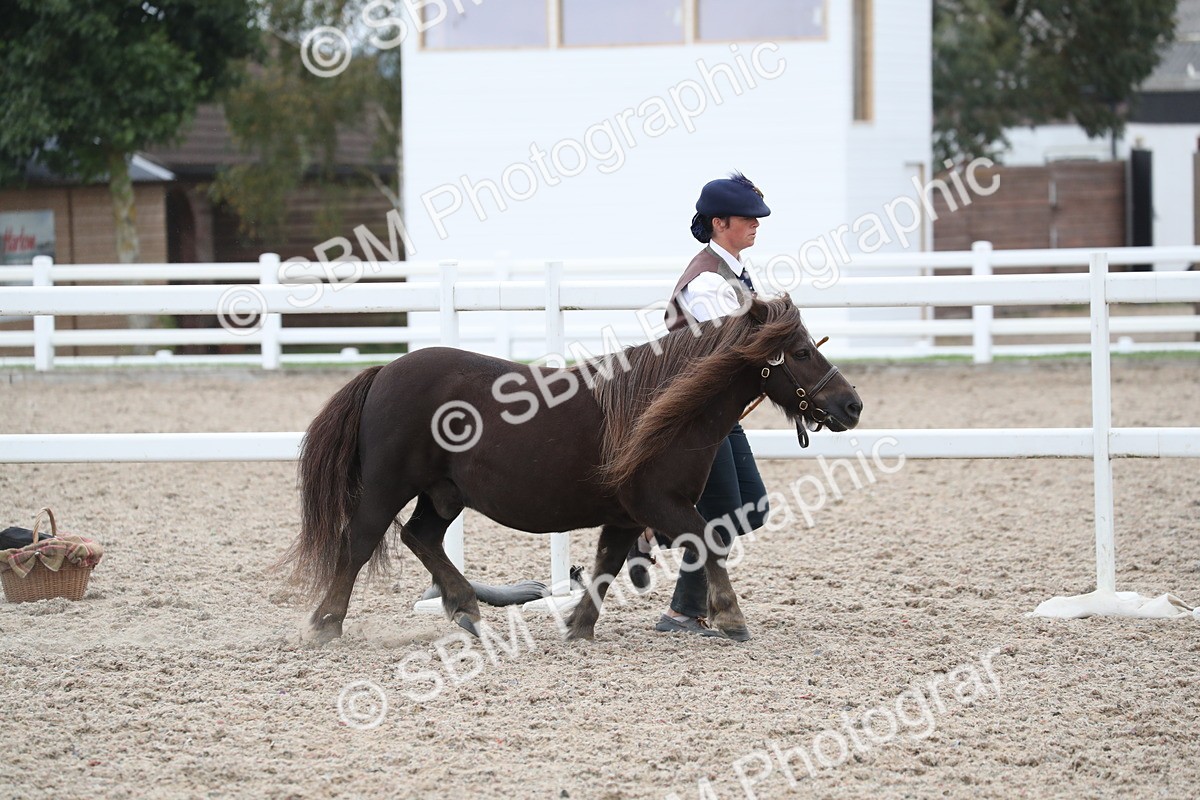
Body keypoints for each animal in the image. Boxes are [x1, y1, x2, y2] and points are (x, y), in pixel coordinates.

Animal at [283, 295, 862, 643]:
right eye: (801, 351)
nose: (851, 404)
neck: (662, 409)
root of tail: (384, 372)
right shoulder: (662, 504)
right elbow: (709, 542)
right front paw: (731, 616)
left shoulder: (628, 515)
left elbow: (607, 566)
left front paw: (578, 626)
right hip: (387, 487)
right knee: (358, 542)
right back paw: (325, 625)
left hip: (444, 493)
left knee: (420, 538)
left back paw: (466, 608)